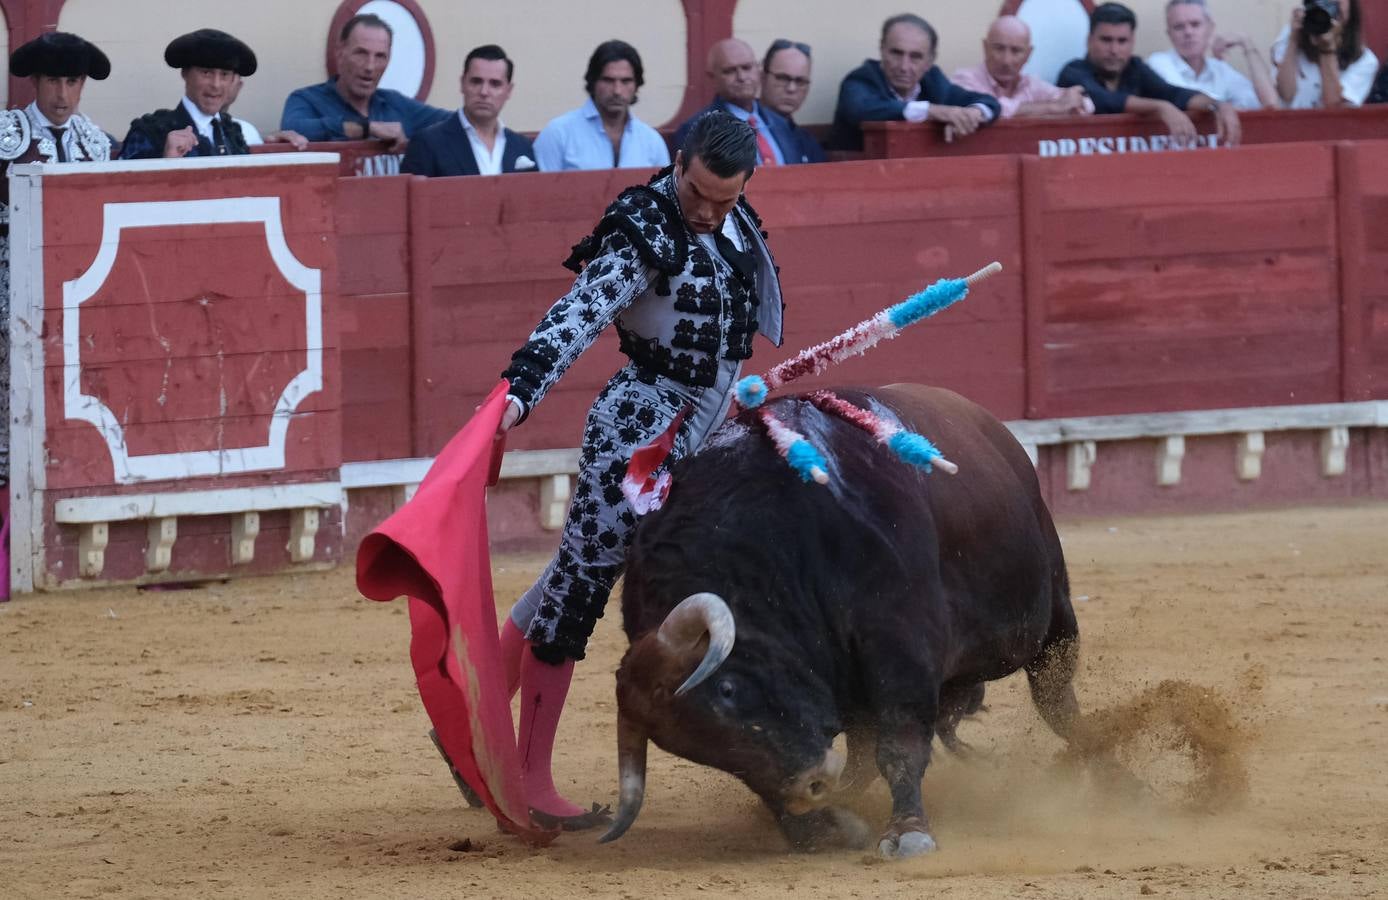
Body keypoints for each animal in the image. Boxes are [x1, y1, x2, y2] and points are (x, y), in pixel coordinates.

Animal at [602, 380, 1077, 855]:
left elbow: (900, 743)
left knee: (1056, 698)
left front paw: (907, 831)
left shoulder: (899, 642)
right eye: (691, 750)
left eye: (727, 689)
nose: (809, 787)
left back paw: (1093, 769)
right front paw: (823, 827)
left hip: (1055, 613)